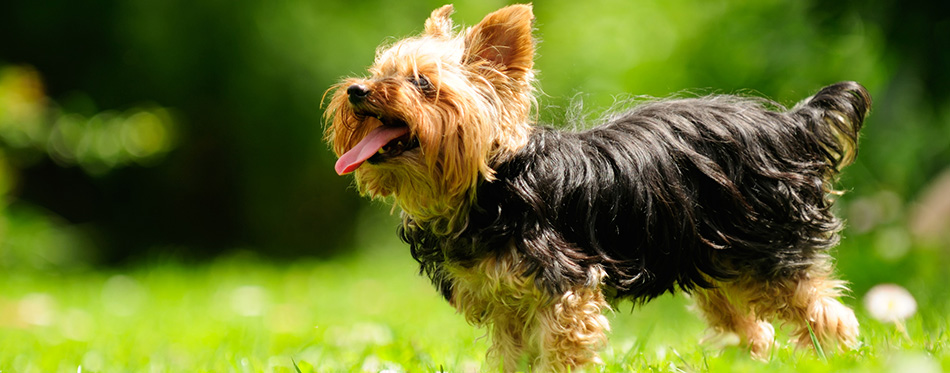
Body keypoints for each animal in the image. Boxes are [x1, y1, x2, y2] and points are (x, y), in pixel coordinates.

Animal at [326, 4, 872, 370]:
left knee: (828, 317)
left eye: (422, 84)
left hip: (770, 251)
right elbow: (511, 357)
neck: (489, 187)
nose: (356, 90)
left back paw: (838, 356)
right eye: (378, 73)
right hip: (715, 260)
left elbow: (561, 353)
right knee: (751, 331)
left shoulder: (567, 290)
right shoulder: (506, 305)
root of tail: (791, 124)